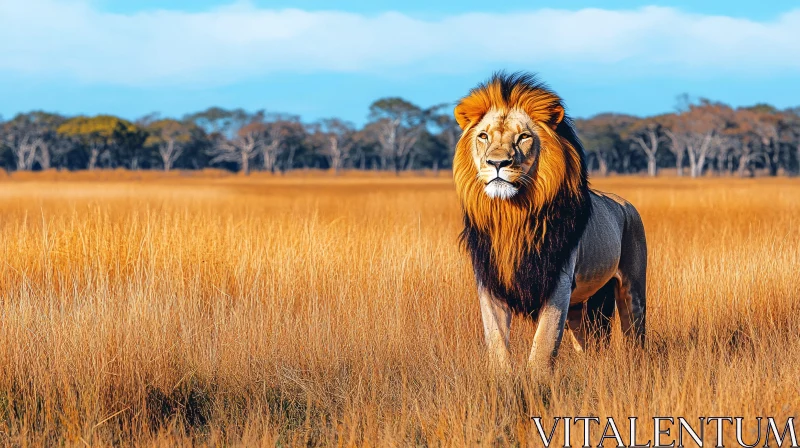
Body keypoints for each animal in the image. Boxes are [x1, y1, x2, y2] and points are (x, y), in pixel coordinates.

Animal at [454, 73, 648, 372]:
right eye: (483, 136)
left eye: (523, 137)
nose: (497, 163)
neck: (512, 216)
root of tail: (625, 204)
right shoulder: (489, 280)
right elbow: (496, 338)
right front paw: (502, 377)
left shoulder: (558, 279)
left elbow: (544, 341)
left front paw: (537, 380)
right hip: (582, 305)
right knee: (587, 342)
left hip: (632, 288)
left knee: (634, 335)